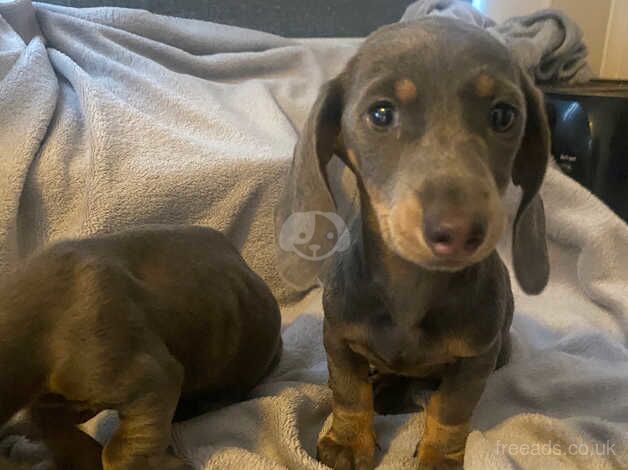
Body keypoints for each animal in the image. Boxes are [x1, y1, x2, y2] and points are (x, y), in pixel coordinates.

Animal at [276, 17, 548, 470]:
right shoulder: (338, 338)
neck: (412, 286)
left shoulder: (477, 358)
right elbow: (348, 393)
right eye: (381, 113)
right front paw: (348, 440)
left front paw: (440, 455)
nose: (458, 231)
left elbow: (451, 410)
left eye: (503, 115)